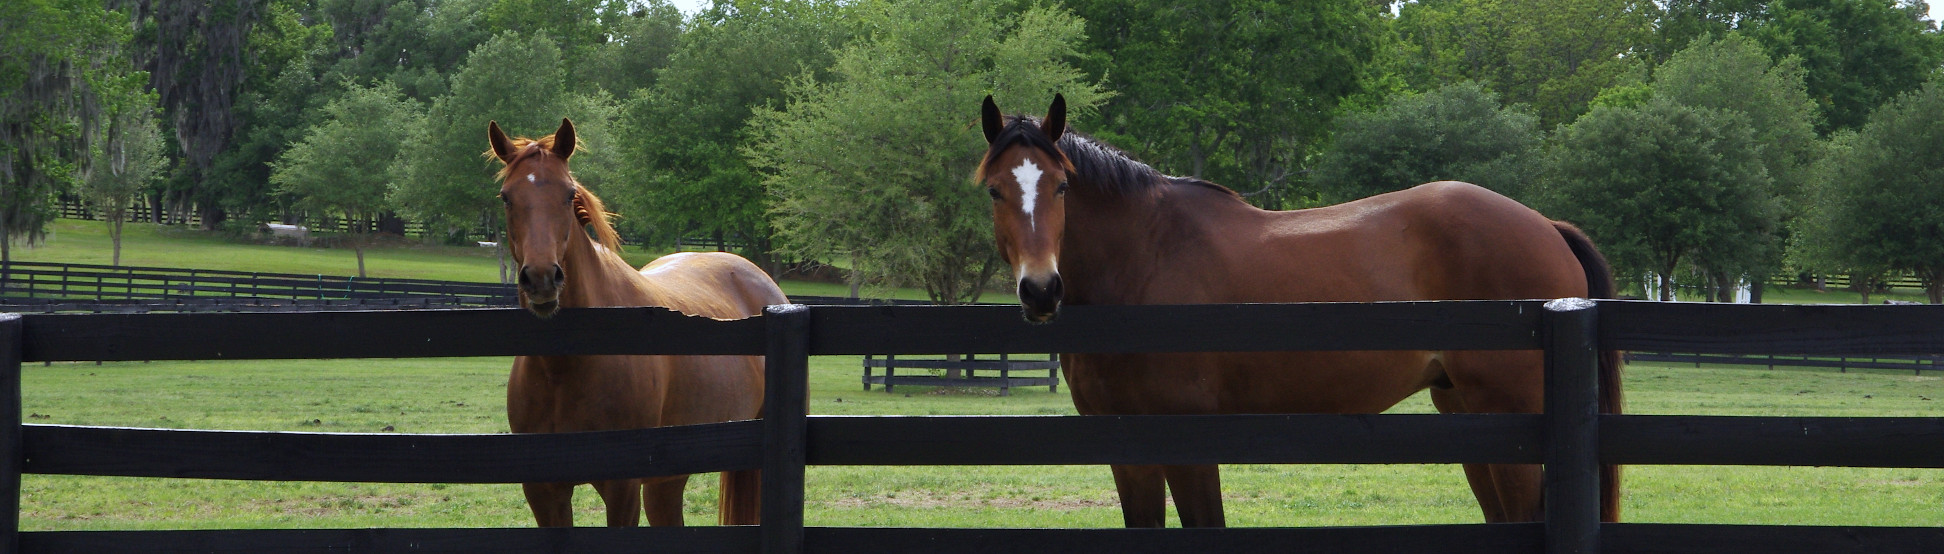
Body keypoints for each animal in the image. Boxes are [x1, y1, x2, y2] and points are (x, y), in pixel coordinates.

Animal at [489, 118, 785, 524]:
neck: (564, 367)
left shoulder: (622, 488)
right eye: (506, 197)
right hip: (667, 480)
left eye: (569, 194)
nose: (542, 278)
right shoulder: (544, 492)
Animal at [972, 95, 1625, 524]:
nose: (1041, 290)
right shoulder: (1126, 452)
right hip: (1468, 416)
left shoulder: (1188, 442)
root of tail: (1546, 227)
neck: (1144, 259)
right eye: (995, 191)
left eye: (1061, 186)